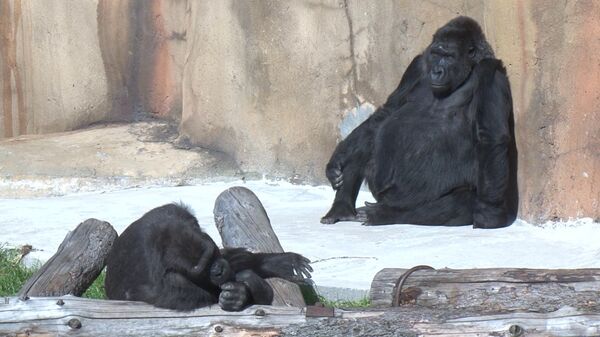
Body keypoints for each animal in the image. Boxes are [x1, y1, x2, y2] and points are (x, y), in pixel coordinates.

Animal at [105, 202, 312, 310]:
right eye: (203, 269)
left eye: (211, 255)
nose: (218, 270)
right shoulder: (168, 283)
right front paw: (241, 294)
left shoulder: (179, 212)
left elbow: (230, 258)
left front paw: (277, 262)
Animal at [322, 14, 516, 227]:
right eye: (436, 54)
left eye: (449, 56)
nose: (437, 71)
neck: (467, 71)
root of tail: (386, 199)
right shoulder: (415, 67)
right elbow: (387, 111)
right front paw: (338, 159)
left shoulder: (491, 73)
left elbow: (491, 137)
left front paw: (490, 213)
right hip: (380, 188)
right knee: (368, 138)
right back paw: (341, 208)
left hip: (406, 199)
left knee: (459, 202)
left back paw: (385, 213)